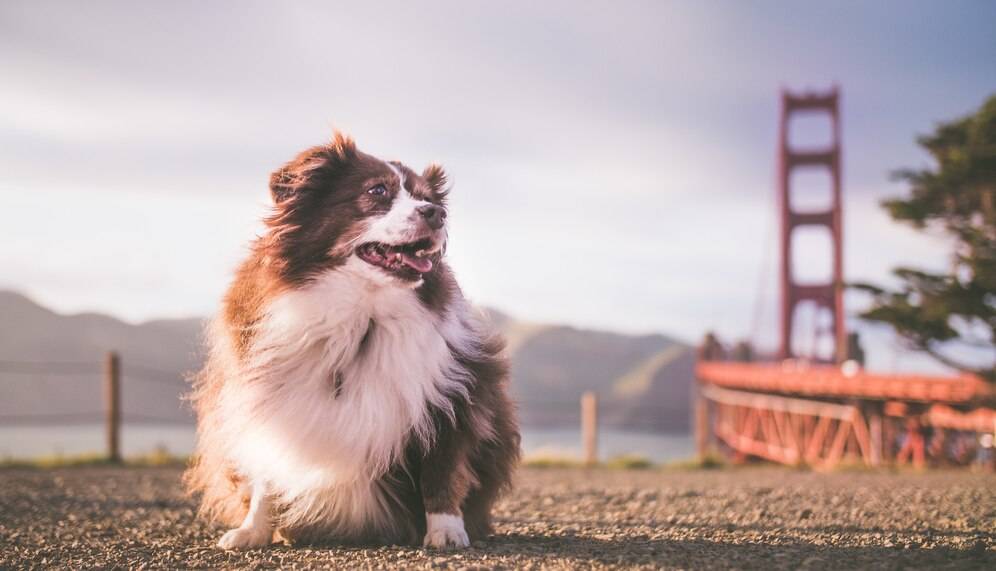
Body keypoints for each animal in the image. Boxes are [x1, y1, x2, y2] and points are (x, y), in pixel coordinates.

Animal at [184, 133, 520, 548]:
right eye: (377, 191)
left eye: (428, 198)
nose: (437, 214)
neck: (361, 317)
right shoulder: (262, 391)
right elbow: (266, 466)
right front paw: (252, 530)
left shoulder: (454, 390)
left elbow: (441, 468)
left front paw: (446, 531)